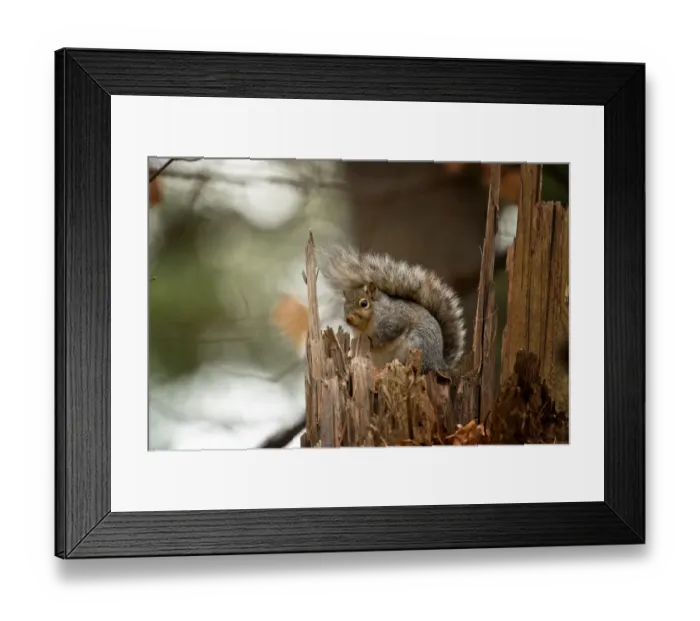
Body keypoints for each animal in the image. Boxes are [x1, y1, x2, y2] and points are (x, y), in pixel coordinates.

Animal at [318, 244, 466, 375]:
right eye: (345, 305)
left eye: (364, 303)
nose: (348, 319)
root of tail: (440, 364)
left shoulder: (396, 319)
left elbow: (390, 331)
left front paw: (375, 342)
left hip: (418, 343)